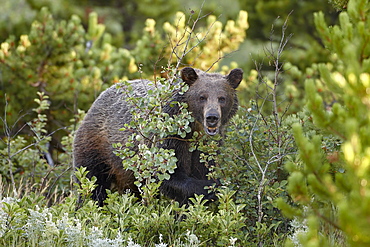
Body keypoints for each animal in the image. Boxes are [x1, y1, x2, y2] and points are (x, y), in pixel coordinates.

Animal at [73, 66, 244, 206]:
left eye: (222, 98)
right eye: (202, 97)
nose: (212, 117)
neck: (195, 129)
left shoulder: (206, 148)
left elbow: (203, 169)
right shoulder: (168, 139)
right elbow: (165, 174)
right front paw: (213, 187)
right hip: (96, 146)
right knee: (91, 183)